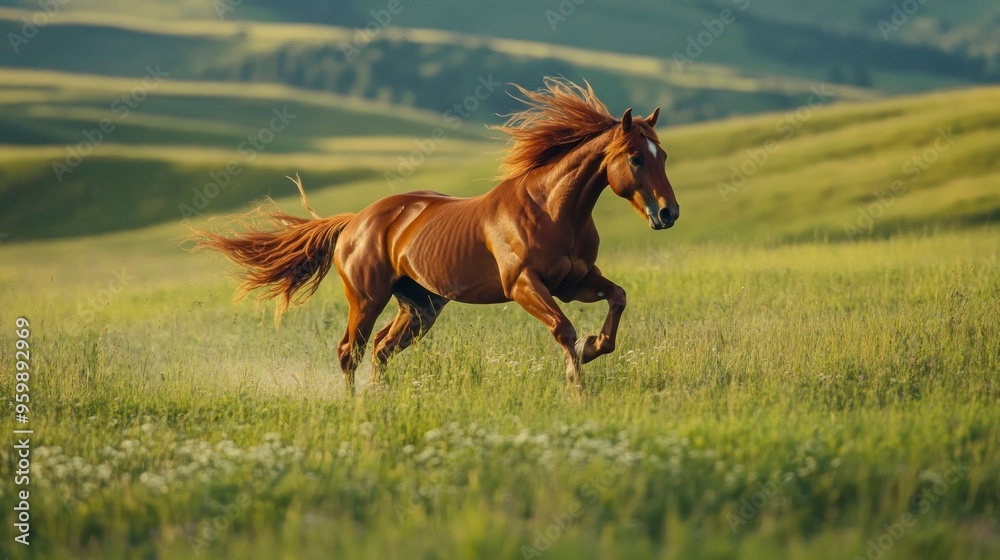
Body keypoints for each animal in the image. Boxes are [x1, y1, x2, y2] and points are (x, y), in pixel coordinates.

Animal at [191, 78, 679, 394]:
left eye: (663, 155)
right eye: (635, 158)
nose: (668, 213)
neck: (552, 210)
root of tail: (354, 221)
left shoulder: (574, 282)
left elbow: (617, 298)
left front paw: (595, 348)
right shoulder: (523, 284)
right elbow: (563, 328)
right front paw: (577, 382)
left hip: (419, 306)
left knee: (381, 349)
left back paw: (380, 401)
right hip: (367, 298)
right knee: (350, 350)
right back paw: (352, 406)